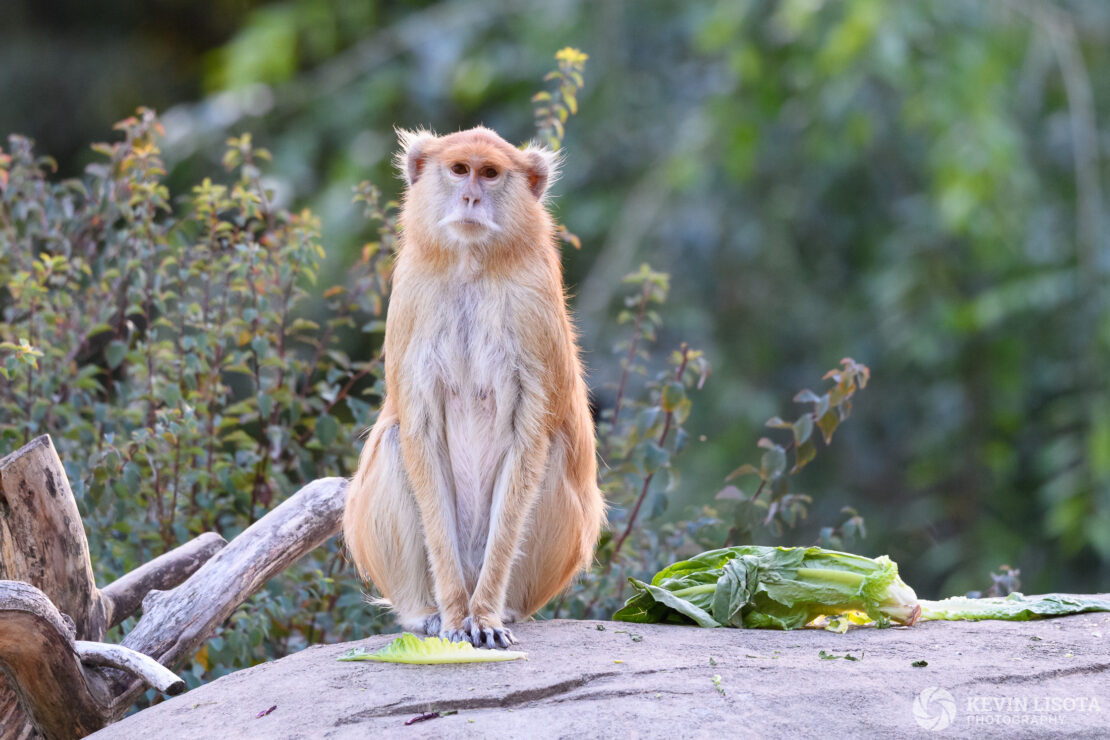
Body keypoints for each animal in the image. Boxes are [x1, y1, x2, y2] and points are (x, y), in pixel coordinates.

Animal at [346, 127, 608, 647]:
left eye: (489, 173)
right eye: (458, 169)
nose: (470, 197)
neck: (471, 264)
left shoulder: (533, 304)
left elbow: (530, 441)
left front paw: (484, 615)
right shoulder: (411, 294)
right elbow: (419, 433)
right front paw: (451, 616)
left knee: (552, 449)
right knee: (394, 440)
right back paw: (427, 611)